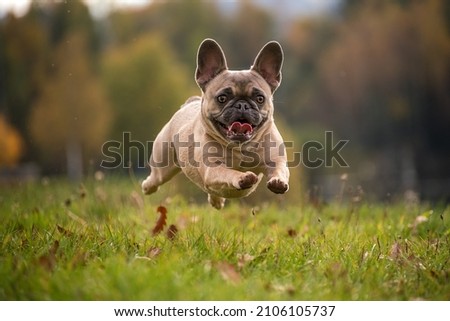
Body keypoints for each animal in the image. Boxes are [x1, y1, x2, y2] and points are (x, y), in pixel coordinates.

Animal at [142, 38, 290, 209]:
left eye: (260, 98)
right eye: (222, 98)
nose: (242, 105)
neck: (240, 148)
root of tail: (189, 103)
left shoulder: (275, 160)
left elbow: (279, 169)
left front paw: (278, 182)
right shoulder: (213, 169)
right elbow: (228, 172)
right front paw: (242, 177)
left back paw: (217, 201)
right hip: (163, 163)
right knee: (156, 178)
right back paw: (147, 186)